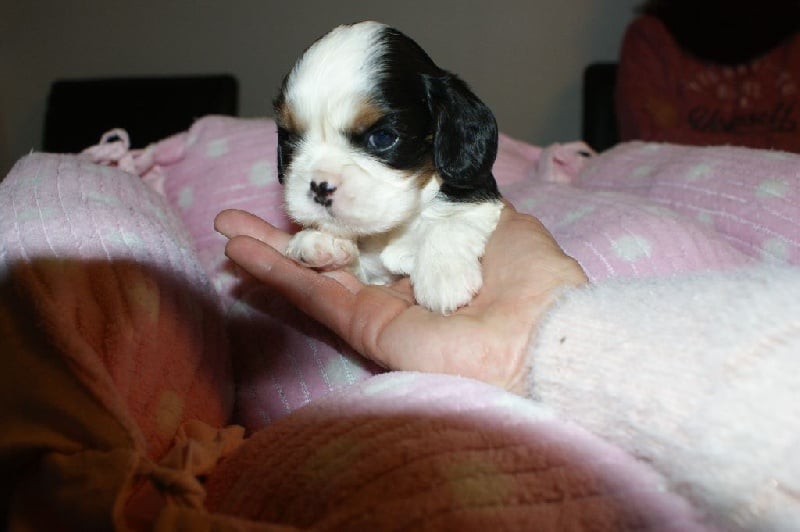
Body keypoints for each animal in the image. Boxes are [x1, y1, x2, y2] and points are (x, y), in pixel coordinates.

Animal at [272, 20, 504, 314]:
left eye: (382, 137)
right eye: (290, 138)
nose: (319, 187)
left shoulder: (479, 194)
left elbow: (452, 221)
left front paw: (443, 275)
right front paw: (323, 241)